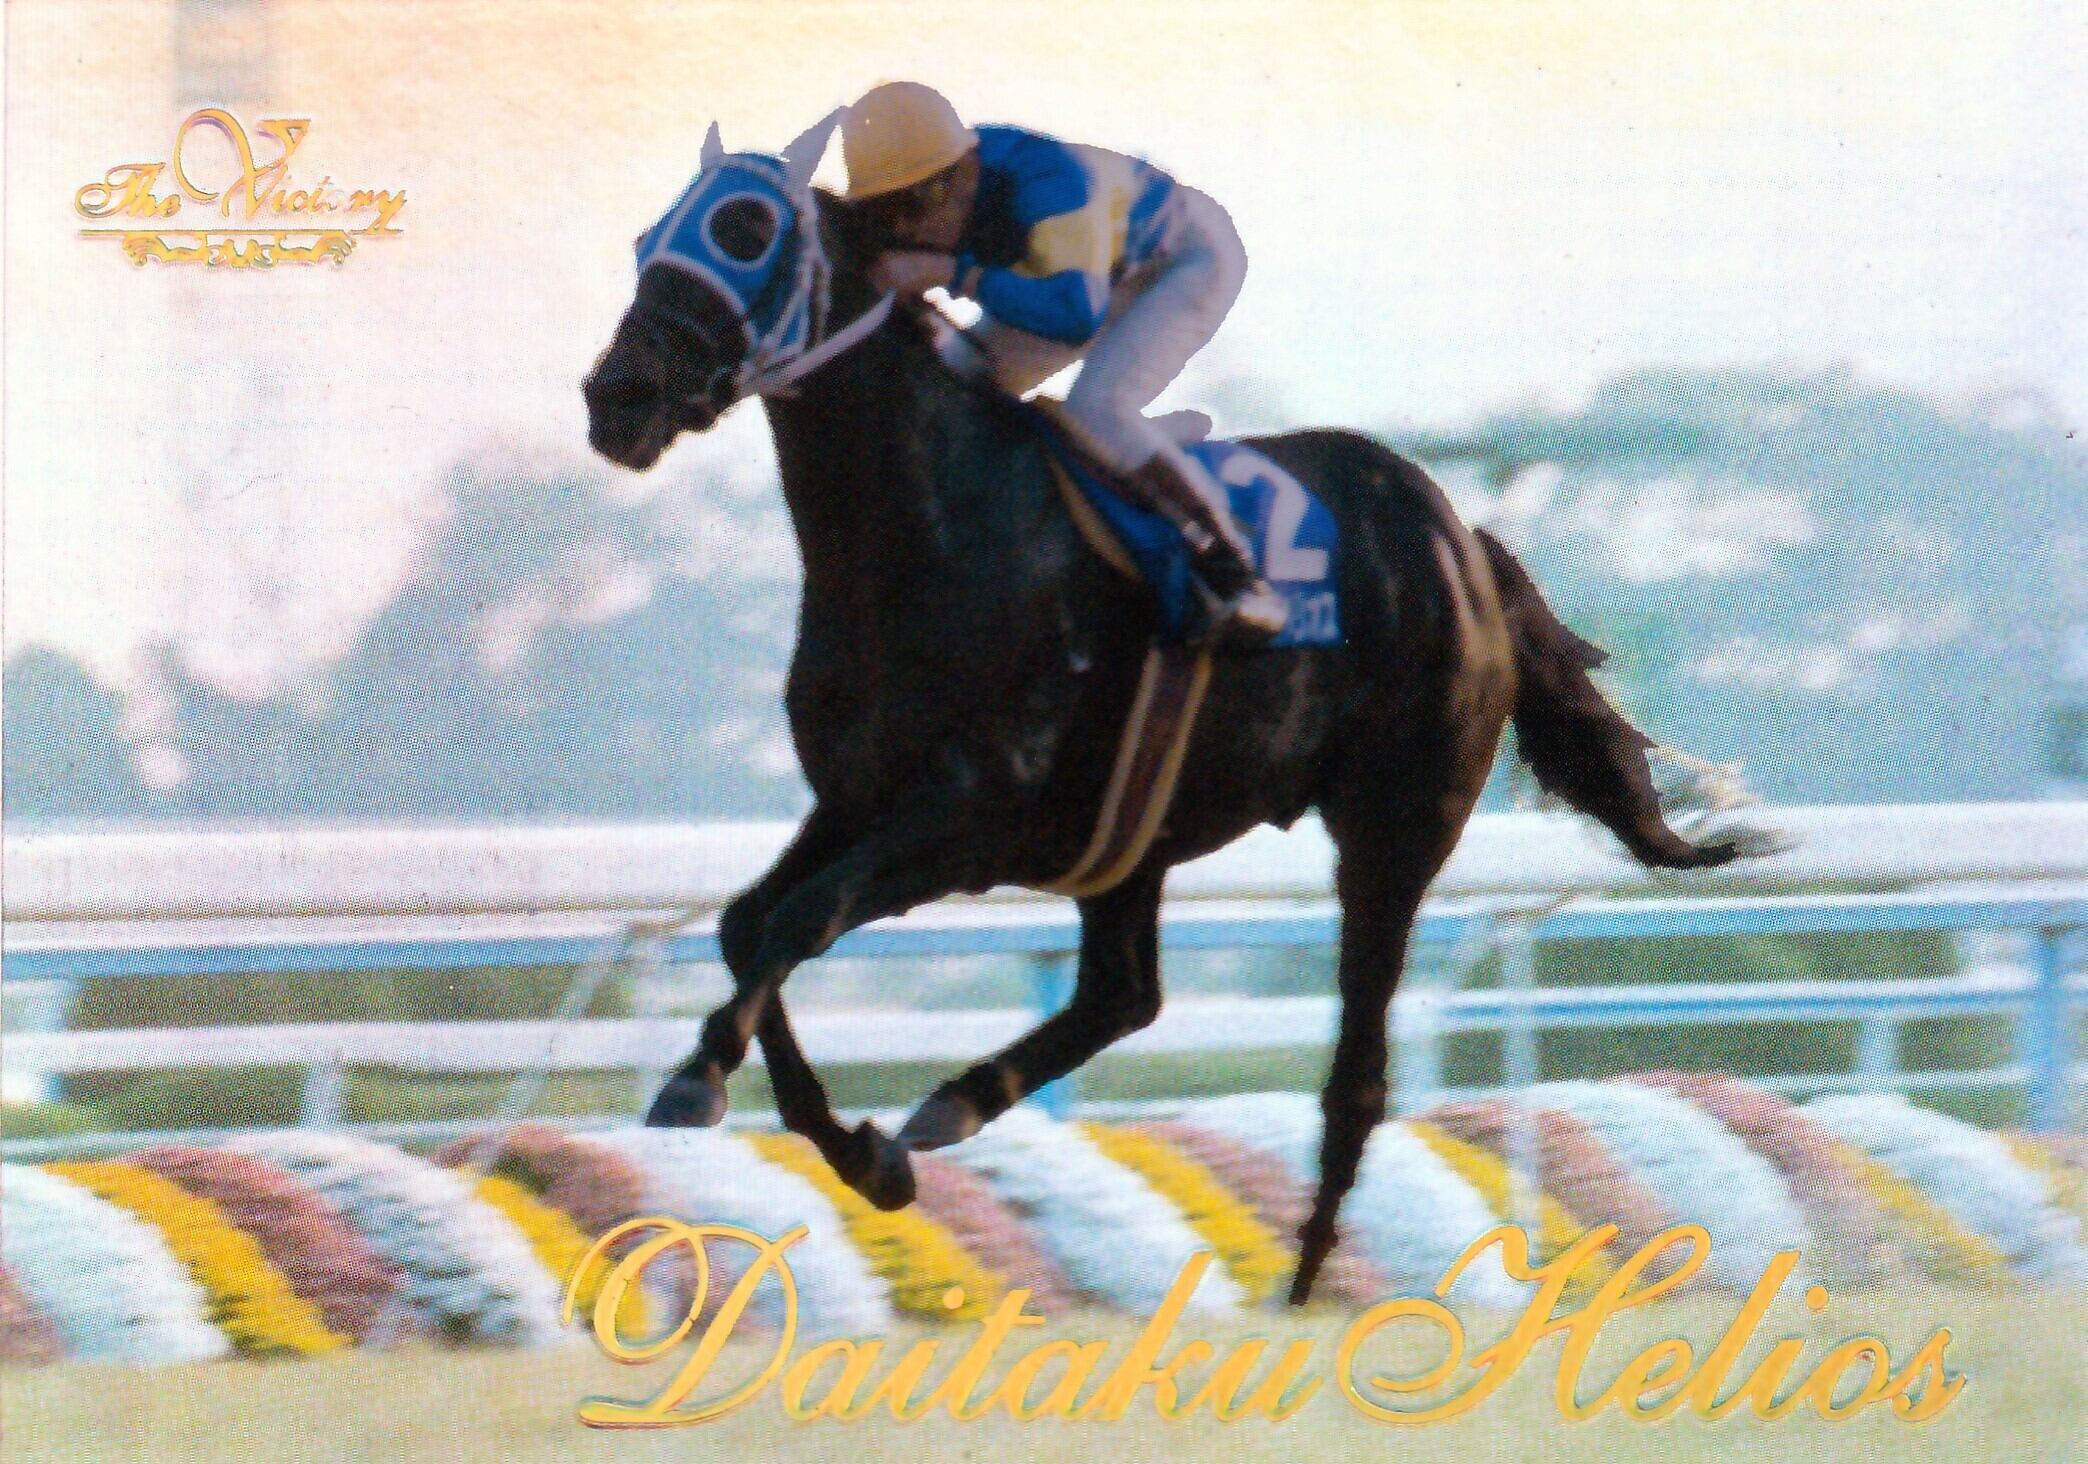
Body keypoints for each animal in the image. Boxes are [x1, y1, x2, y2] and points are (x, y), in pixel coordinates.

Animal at [581, 116, 1745, 1304]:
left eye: (745, 233)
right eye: (648, 239)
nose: (615, 397)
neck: (932, 529)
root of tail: (1462, 539)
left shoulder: (968, 816)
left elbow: (799, 920)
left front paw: (700, 1085)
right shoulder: (859, 799)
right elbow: (745, 924)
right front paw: (855, 1150)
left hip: (1394, 828)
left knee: (1355, 1073)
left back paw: (1302, 1285)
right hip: (1131, 839)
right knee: (1124, 994)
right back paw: (951, 1109)